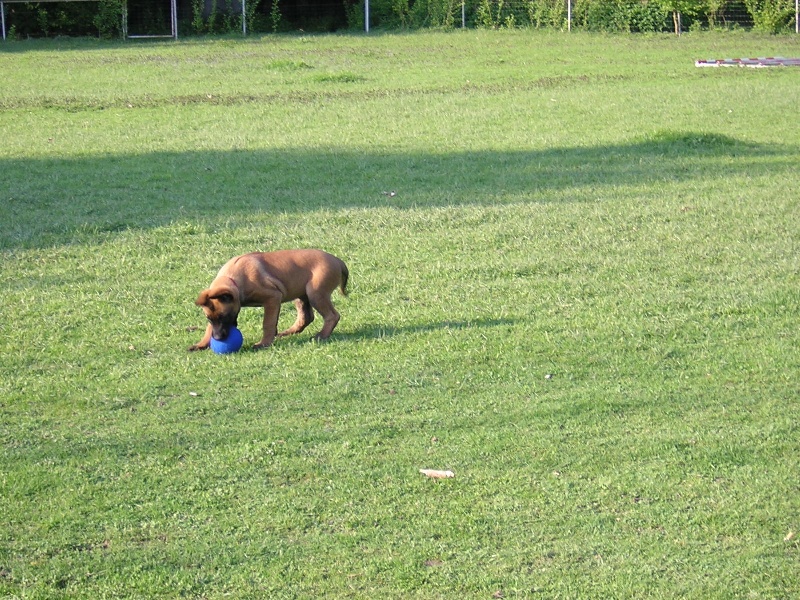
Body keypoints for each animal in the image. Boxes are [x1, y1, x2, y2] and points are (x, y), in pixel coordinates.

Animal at [191, 248, 350, 352]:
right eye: (209, 318)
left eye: (224, 316)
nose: (218, 338)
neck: (234, 279)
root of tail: (337, 260)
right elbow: (209, 328)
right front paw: (201, 344)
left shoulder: (272, 297)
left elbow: (267, 323)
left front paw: (264, 343)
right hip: (300, 293)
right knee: (306, 317)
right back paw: (287, 332)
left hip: (316, 293)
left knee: (332, 316)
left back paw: (322, 335)